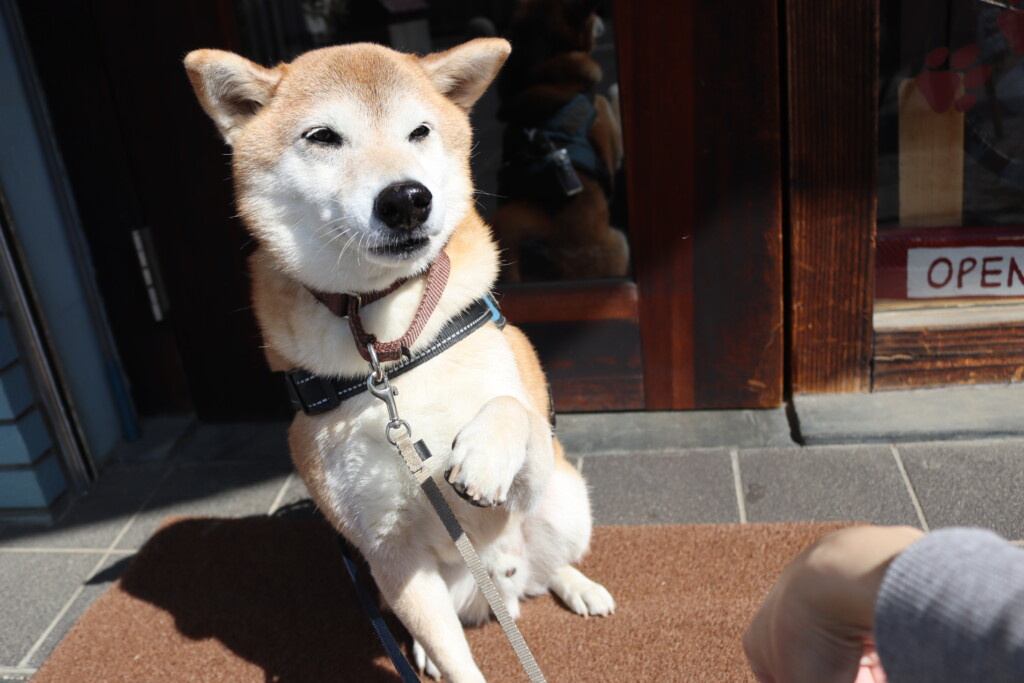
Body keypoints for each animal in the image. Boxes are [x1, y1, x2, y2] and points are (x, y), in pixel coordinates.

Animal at [185, 38, 614, 682]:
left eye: (420, 131)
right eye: (322, 136)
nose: (407, 199)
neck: (390, 349)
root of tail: (504, 591)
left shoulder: (528, 455)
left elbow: (513, 410)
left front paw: (483, 455)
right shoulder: (388, 549)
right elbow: (456, 659)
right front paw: (444, 660)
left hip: (567, 502)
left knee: (550, 563)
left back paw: (579, 586)